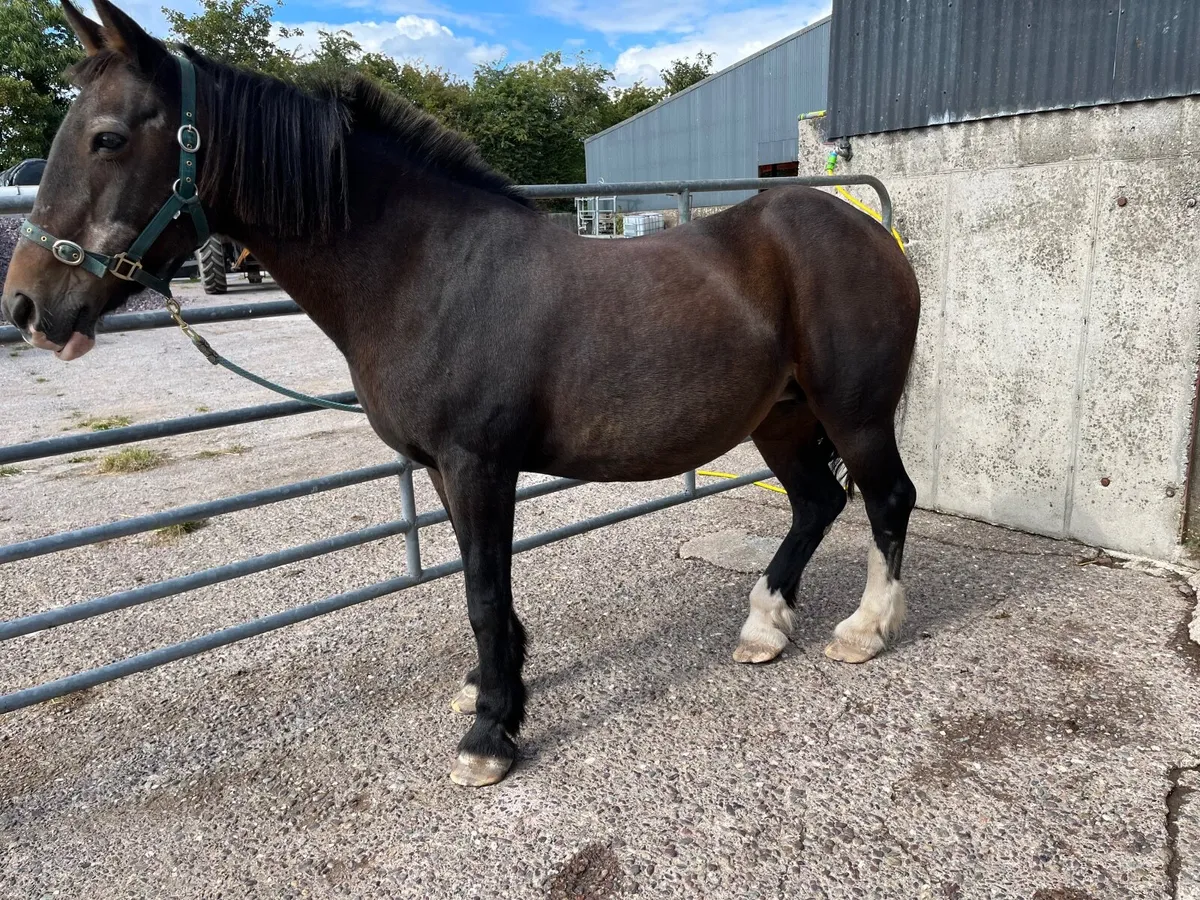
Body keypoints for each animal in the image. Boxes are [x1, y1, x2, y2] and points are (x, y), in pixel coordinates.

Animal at [1, 0, 920, 787]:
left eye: (109, 138)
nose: (27, 308)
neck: (425, 270)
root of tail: (873, 230)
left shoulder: (479, 463)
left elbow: (483, 591)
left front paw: (489, 738)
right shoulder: (446, 469)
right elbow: (480, 588)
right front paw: (492, 691)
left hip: (854, 413)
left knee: (886, 500)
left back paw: (865, 631)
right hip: (782, 417)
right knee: (815, 503)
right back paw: (765, 627)